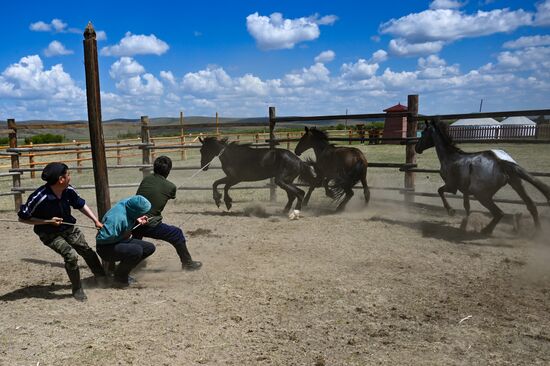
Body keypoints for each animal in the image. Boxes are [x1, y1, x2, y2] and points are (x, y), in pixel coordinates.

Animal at [416, 120, 550, 234]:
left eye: (423, 133)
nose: (417, 148)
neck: (450, 157)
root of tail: (500, 162)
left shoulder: (452, 186)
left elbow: (440, 191)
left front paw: (451, 211)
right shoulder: (465, 190)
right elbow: (467, 206)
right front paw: (463, 224)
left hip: (481, 194)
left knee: (499, 213)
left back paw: (486, 230)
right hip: (516, 183)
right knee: (531, 206)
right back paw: (537, 232)